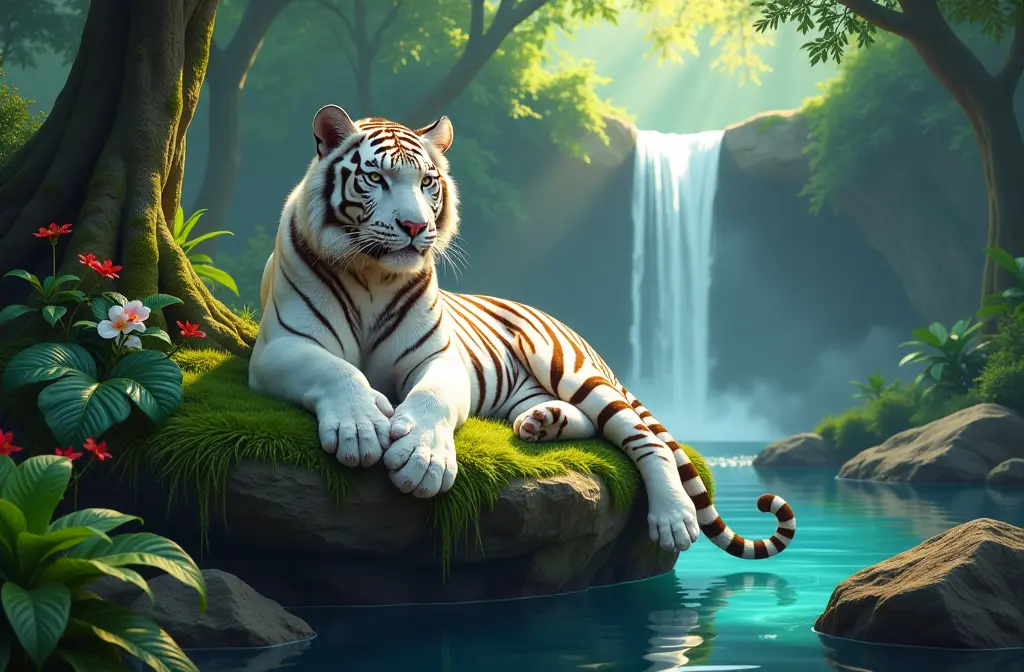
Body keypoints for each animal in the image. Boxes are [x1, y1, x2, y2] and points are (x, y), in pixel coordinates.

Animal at [248, 104, 796, 557]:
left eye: (426, 182)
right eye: (377, 179)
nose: (414, 226)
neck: (372, 274)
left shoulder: (440, 358)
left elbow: (429, 399)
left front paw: (424, 461)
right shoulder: (281, 346)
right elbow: (339, 371)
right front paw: (360, 428)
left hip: (567, 367)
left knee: (643, 437)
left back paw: (673, 516)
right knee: (591, 423)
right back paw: (542, 422)